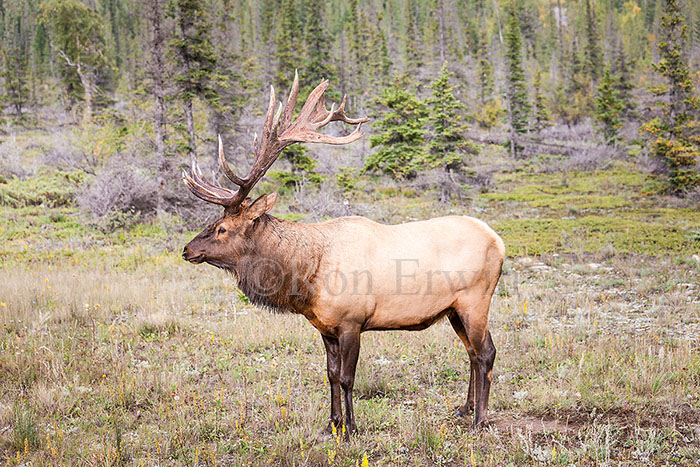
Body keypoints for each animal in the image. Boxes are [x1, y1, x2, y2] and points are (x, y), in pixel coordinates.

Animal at [183, 73, 506, 438]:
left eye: (222, 228)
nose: (187, 249)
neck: (306, 277)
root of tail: (499, 241)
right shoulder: (325, 327)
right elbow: (331, 375)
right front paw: (332, 424)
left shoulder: (353, 321)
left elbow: (349, 378)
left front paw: (350, 428)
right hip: (453, 309)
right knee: (471, 352)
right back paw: (465, 409)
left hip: (475, 301)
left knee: (486, 353)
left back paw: (481, 420)